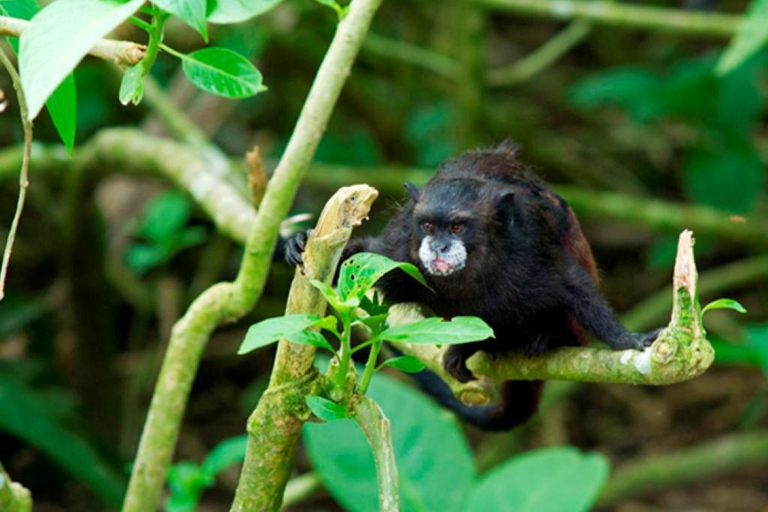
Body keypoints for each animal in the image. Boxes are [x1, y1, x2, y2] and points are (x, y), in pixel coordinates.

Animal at [284, 142, 656, 430]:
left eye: (458, 227)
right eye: (428, 226)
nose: (438, 247)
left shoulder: (528, 250)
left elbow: (571, 283)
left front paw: (627, 338)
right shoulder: (400, 250)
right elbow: (361, 257)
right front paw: (298, 242)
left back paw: (549, 336)